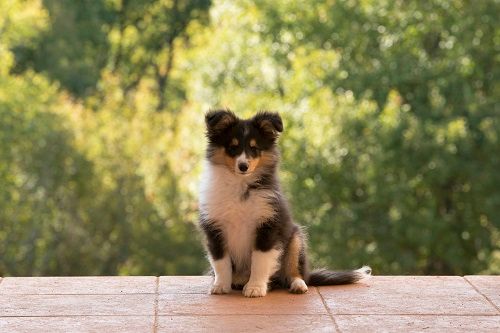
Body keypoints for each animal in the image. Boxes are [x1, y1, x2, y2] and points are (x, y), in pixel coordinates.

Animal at [199, 108, 372, 296]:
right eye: (232, 147)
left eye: (254, 148)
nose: (243, 166)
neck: (241, 185)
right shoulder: (215, 228)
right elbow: (221, 261)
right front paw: (220, 286)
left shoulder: (268, 225)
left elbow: (260, 260)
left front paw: (255, 288)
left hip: (295, 239)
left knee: (294, 272)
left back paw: (297, 285)